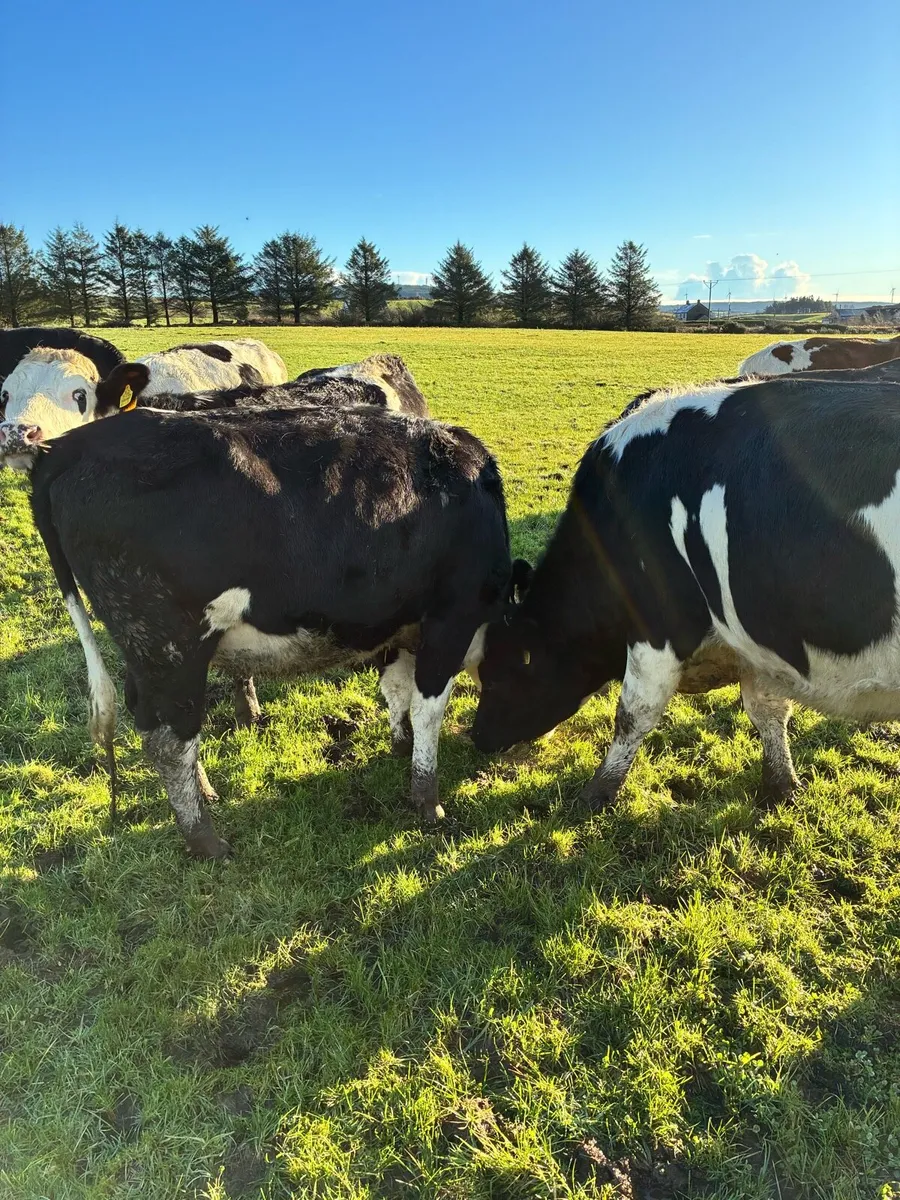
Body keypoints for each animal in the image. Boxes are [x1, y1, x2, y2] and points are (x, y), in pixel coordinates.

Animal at [29, 403, 512, 857]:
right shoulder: (451, 620)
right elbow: (429, 706)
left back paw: (204, 794)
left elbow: (396, 688)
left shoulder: (400, 627)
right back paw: (204, 839)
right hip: (171, 646)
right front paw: (428, 800)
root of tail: (73, 443)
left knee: (151, 718)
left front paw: (401, 743)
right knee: (169, 734)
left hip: (145, 647)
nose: (494, 745)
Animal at [470, 374, 900, 813]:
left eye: (496, 677)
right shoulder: (756, 645)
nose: (477, 735)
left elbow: (634, 713)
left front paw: (598, 791)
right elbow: (767, 710)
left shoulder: (657, 626)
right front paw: (782, 785)